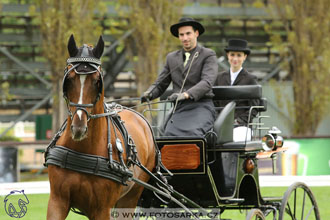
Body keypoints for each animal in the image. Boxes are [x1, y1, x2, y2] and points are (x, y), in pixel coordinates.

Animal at [44, 35, 156, 219]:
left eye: (97, 81)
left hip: (131, 198)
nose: (79, 127)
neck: (83, 151)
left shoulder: (102, 209)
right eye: (69, 79)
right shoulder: (57, 201)